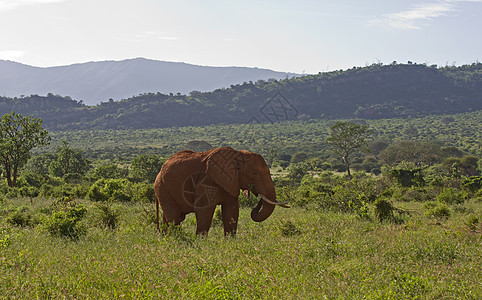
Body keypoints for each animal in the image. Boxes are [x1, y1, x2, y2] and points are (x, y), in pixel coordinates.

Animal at [155, 146, 290, 236]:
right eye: (255, 173)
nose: (258, 197)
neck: (238, 155)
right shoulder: (206, 182)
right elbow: (204, 211)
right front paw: (200, 242)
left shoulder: (231, 183)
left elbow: (232, 210)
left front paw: (230, 242)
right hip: (162, 187)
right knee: (173, 216)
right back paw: (176, 238)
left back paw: (166, 237)